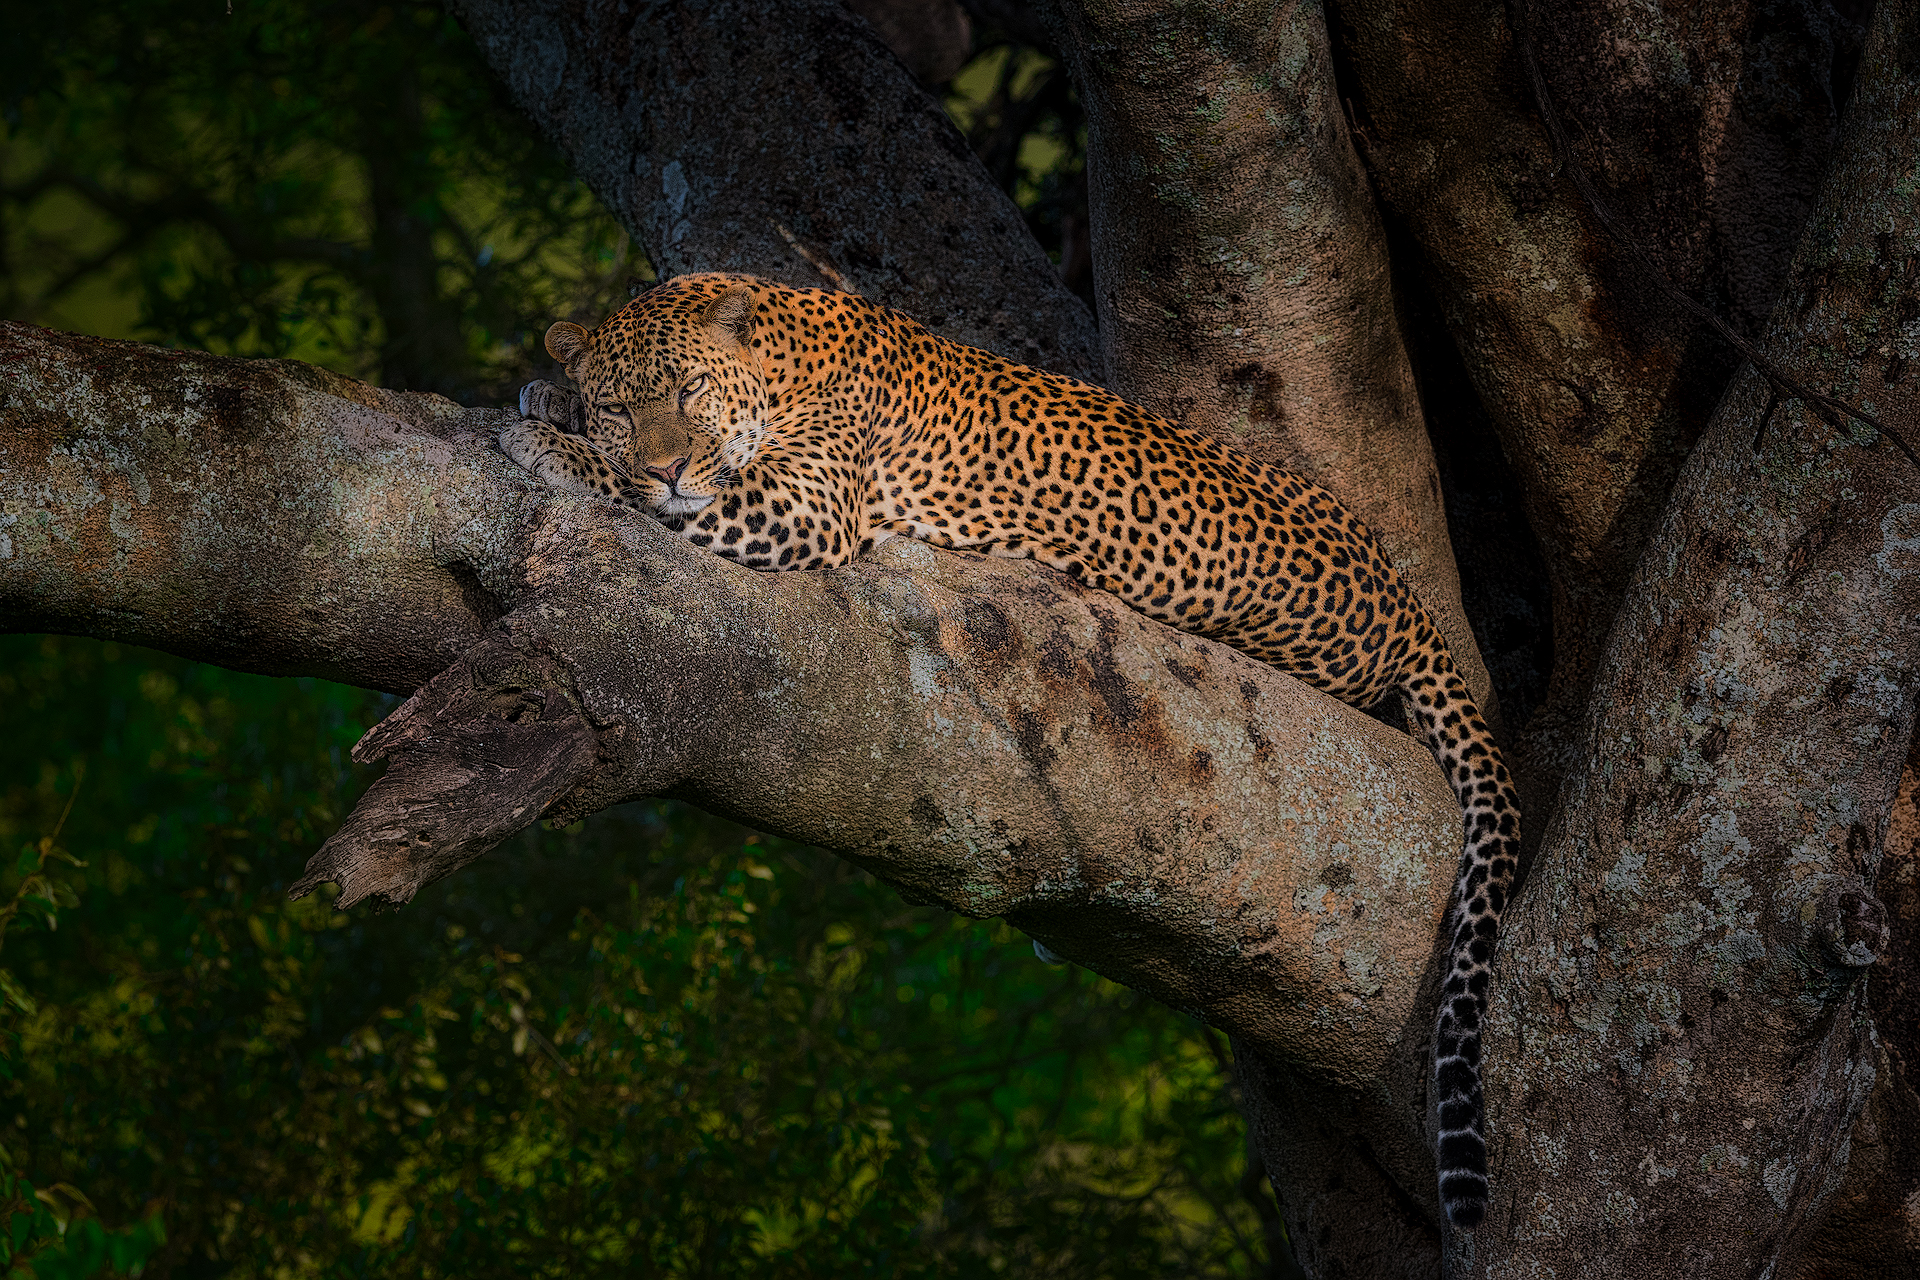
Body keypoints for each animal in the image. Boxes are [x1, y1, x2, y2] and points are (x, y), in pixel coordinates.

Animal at [499, 272, 1519, 1231]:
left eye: (689, 391)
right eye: (623, 405)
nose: (667, 464)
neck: (782, 349)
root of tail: (1409, 602)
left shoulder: (802, 506)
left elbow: (673, 496)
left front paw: (550, 442)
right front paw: (554, 403)